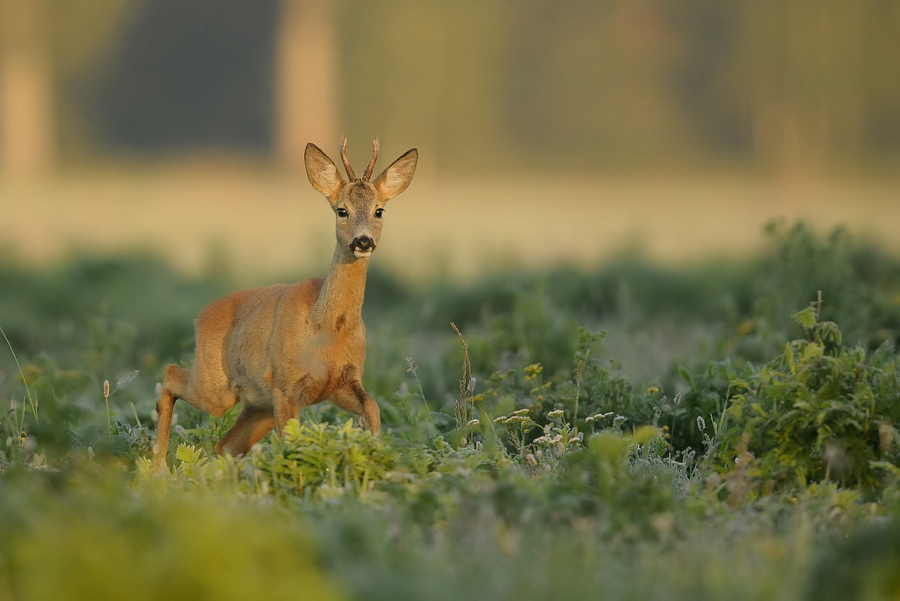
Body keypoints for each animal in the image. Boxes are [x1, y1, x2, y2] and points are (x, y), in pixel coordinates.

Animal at [154, 136, 418, 474]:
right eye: (341, 210)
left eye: (379, 210)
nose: (363, 241)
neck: (326, 330)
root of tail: (201, 316)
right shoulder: (285, 387)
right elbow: (291, 445)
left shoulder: (342, 382)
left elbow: (372, 408)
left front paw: (378, 459)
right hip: (218, 387)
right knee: (171, 374)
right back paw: (158, 467)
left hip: (258, 404)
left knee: (226, 444)